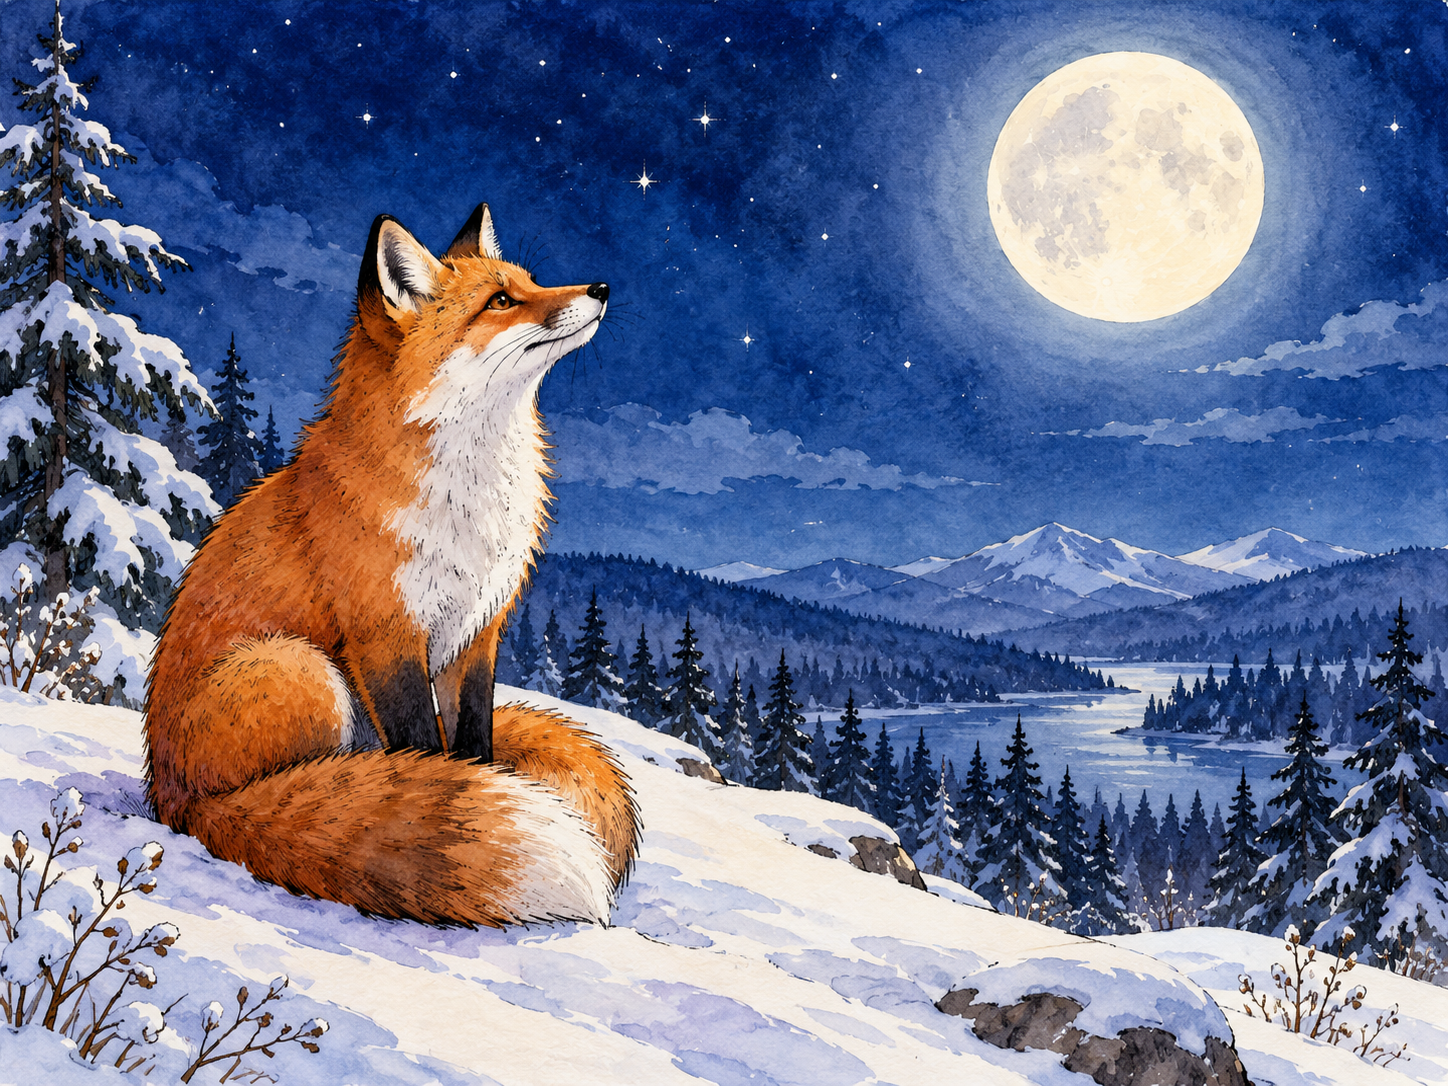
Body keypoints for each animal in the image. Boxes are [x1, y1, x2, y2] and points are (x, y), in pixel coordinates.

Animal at [143, 203, 639, 927]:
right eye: (500, 302)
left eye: (530, 281)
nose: (602, 289)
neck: (467, 506)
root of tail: (169, 794)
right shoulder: (386, 636)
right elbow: (425, 753)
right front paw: (443, 803)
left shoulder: (476, 634)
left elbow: (473, 744)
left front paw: (471, 787)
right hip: (298, 668)